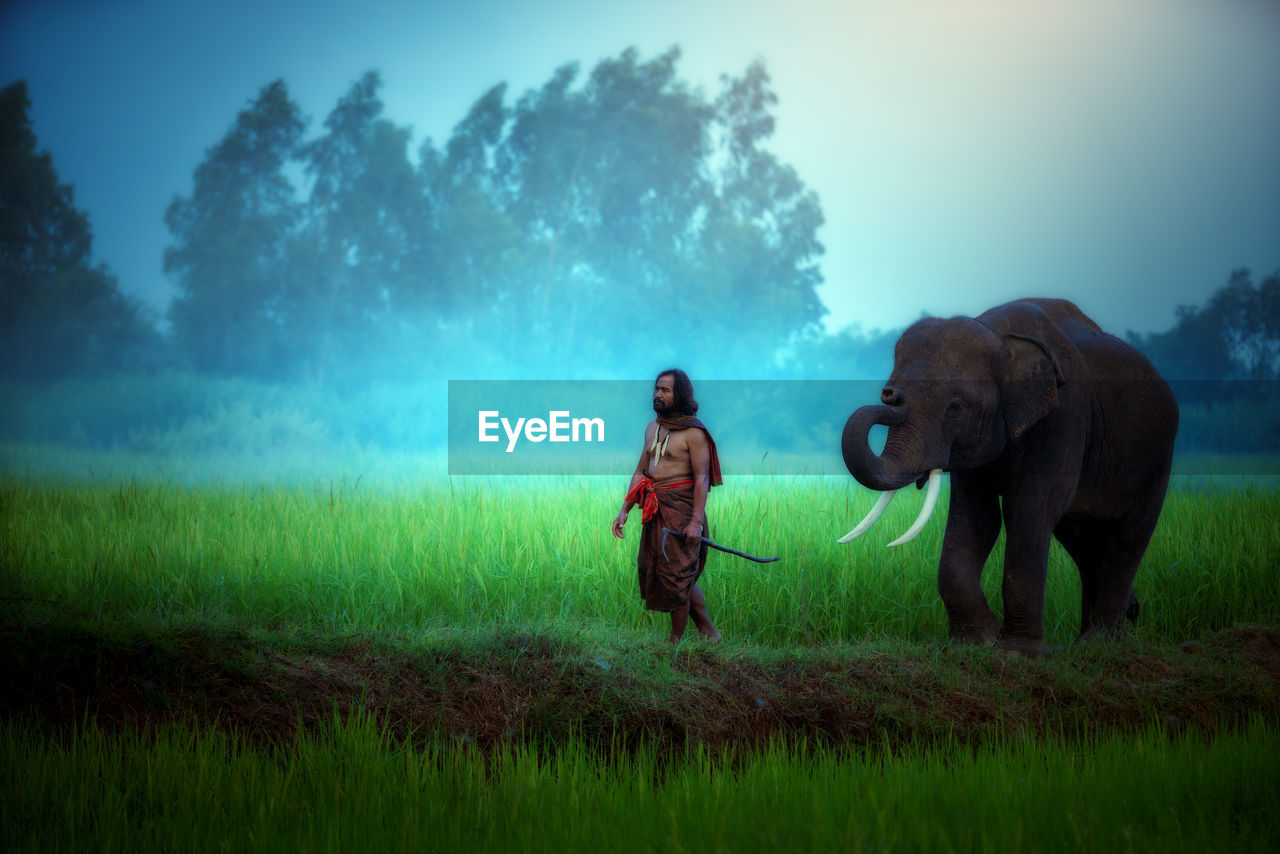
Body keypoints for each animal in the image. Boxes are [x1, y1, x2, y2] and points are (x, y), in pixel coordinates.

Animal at [839, 297, 1177, 660]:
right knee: (1081, 538)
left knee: (1128, 537)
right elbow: (976, 517)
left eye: (955, 406)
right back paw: (1107, 634)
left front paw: (1017, 653)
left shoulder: (1064, 415)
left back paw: (1100, 642)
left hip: (1158, 459)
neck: (997, 334)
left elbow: (1029, 509)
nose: (890, 395)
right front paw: (977, 642)